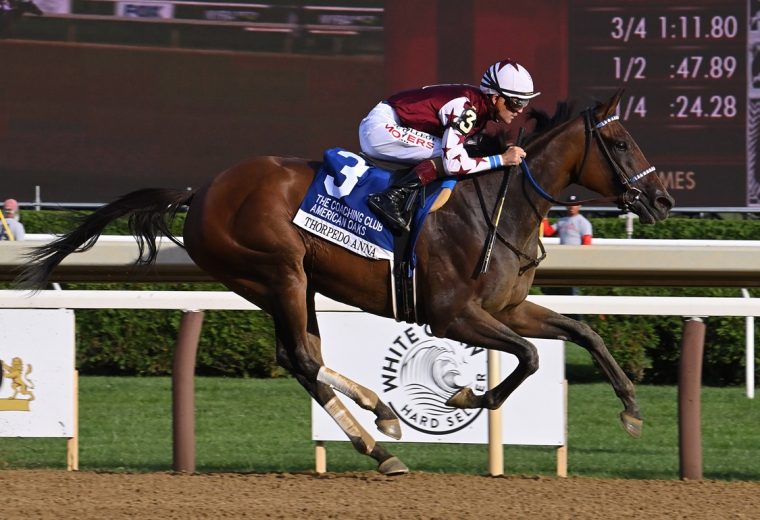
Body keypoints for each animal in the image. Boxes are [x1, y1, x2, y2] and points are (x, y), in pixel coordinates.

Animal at [19, 90, 672, 476]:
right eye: (619, 142)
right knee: (305, 357)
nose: (662, 200)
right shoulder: (452, 314)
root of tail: (199, 192)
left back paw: (379, 433)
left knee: (298, 356)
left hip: (287, 284)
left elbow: (582, 331)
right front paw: (467, 398)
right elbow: (531, 358)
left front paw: (632, 409)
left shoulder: (507, 308)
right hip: (278, 270)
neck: (495, 202)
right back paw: (381, 429)